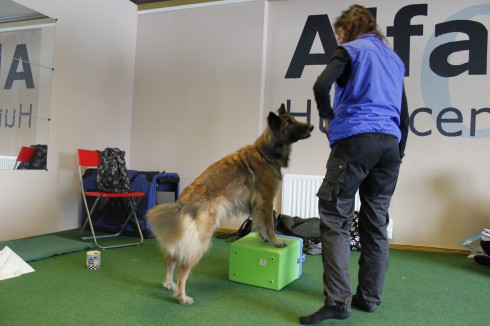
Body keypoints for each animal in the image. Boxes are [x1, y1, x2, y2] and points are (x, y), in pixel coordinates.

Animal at [146, 104, 314, 304]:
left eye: (294, 119)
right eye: (289, 123)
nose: (312, 127)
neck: (265, 153)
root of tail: (184, 201)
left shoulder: (258, 205)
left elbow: (261, 224)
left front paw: (264, 238)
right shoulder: (266, 200)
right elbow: (270, 225)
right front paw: (275, 241)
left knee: (170, 259)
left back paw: (168, 284)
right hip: (202, 239)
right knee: (183, 267)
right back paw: (182, 296)